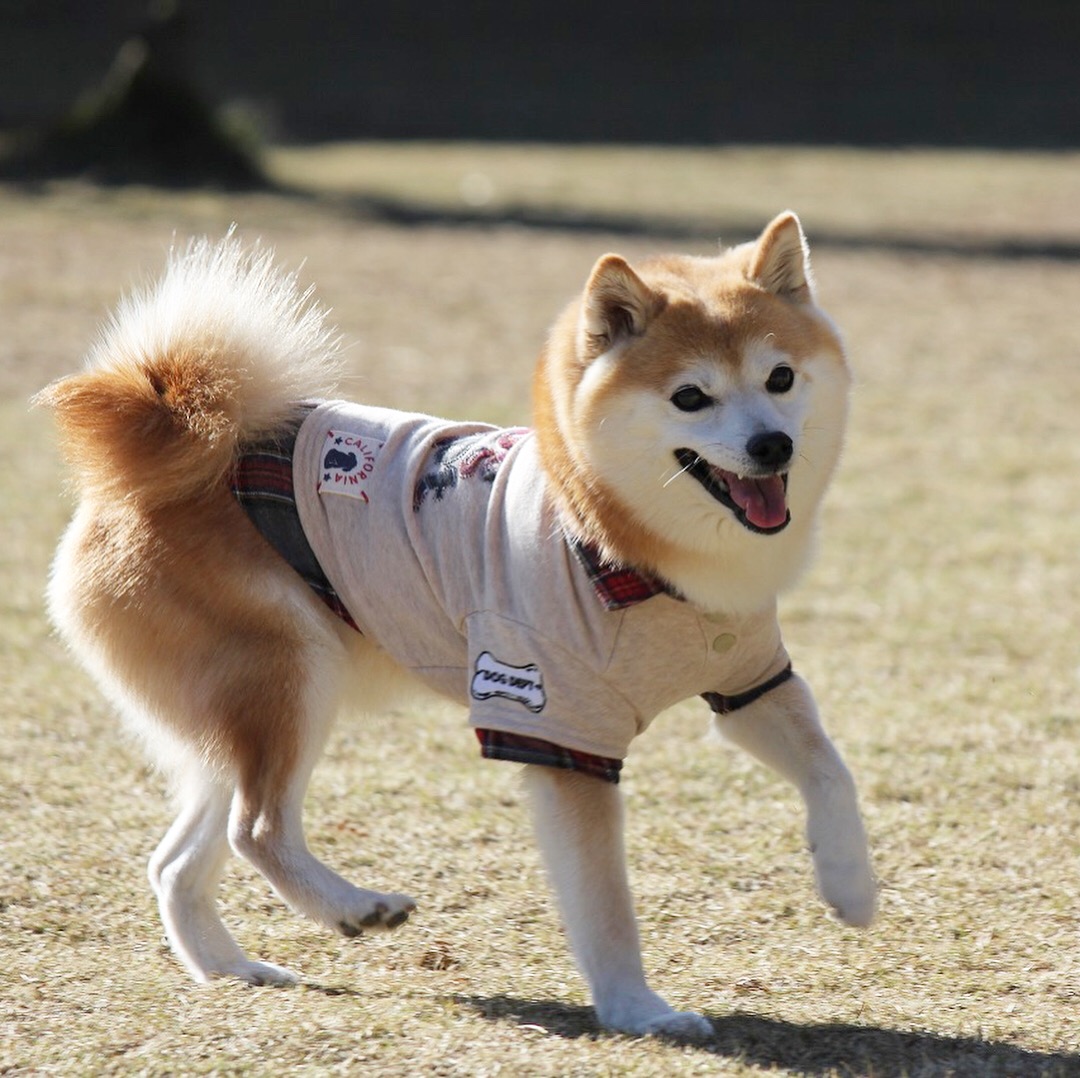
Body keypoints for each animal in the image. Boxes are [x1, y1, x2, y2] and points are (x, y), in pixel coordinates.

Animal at [38, 214, 872, 1041]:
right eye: (691, 396)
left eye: (781, 379)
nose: (772, 445)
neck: (620, 543)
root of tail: (155, 456)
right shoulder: (556, 724)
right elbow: (605, 904)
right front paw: (639, 1011)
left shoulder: (751, 681)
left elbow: (832, 770)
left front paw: (852, 883)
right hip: (293, 676)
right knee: (258, 829)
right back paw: (355, 907)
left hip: (232, 716)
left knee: (177, 863)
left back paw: (234, 970)